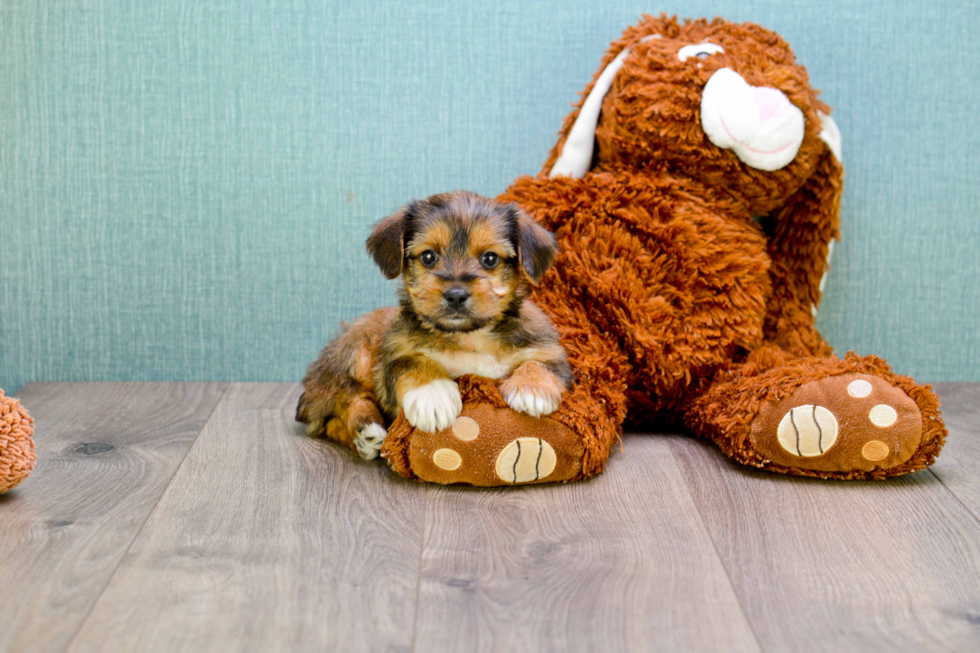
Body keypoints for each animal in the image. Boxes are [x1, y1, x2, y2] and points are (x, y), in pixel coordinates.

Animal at [298, 191, 576, 460]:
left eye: (490, 258)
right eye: (428, 256)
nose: (456, 295)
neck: (469, 335)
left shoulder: (548, 349)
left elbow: (540, 362)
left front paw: (532, 390)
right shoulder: (393, 358)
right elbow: (417, 363)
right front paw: (433, 396)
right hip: (356, 350)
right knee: (342, 401)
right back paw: (366, 430)